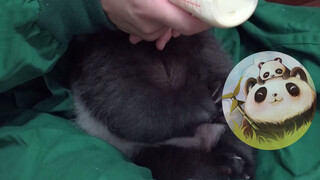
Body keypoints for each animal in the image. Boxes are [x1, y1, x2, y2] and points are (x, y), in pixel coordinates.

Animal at [67, 30, 255, 179]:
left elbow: (214, 59)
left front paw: (222, 94)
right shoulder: (104, 54)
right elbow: (125, 98)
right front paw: (200, 107)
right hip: (140, 150)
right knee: (175, 163)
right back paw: (225, 167)